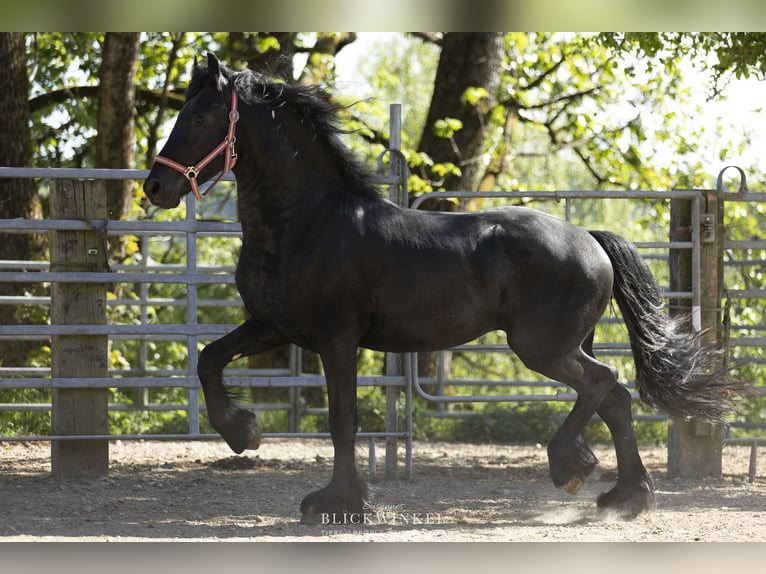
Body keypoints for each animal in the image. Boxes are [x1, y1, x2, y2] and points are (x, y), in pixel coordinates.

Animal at [143, 53, 743, 523]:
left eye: (200, 115)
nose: (156, 186)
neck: (309, 224)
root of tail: (589, 239)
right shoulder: (274, 326)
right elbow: (208, 360)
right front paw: (243, 432)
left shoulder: (336, 340)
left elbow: (342, 420)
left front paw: (338, 503)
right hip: (562, 345)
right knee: (614, 398)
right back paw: (622, 496)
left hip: (542, 346)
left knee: (603, 384)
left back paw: (573, 468)